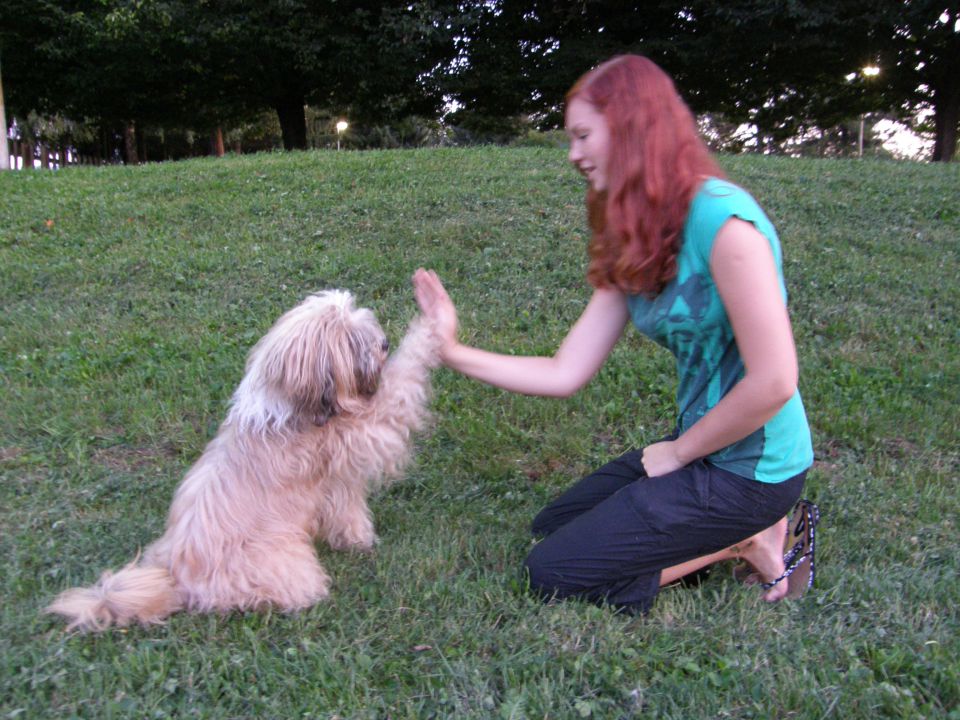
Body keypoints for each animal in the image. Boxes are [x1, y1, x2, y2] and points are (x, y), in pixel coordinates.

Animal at [47, 290, 440, 632]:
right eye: (350, 340)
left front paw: (358, 541)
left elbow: (348, 514)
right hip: (282, 564)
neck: (293, 408)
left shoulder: (337, 485)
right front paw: (432, 321)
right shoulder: (360, 434)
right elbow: (400, 384)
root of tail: (176, 579)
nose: (384, 344)